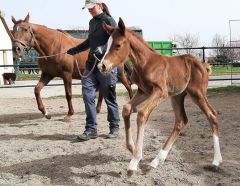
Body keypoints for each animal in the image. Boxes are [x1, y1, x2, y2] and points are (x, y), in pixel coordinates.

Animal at [98, 18, 222, 176]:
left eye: (118, 45)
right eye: (106, 45)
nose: (102, 66)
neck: (146, 63)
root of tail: (203, 65)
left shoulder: (160, 91)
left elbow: (142, 114)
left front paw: (134, 161)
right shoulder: (143, 91)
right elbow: (126, 108)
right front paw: (132, 148)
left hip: (197, 93)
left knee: (212, 115)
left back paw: (216, 162)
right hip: (177, 96)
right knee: (181, 120)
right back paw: (156, 161)